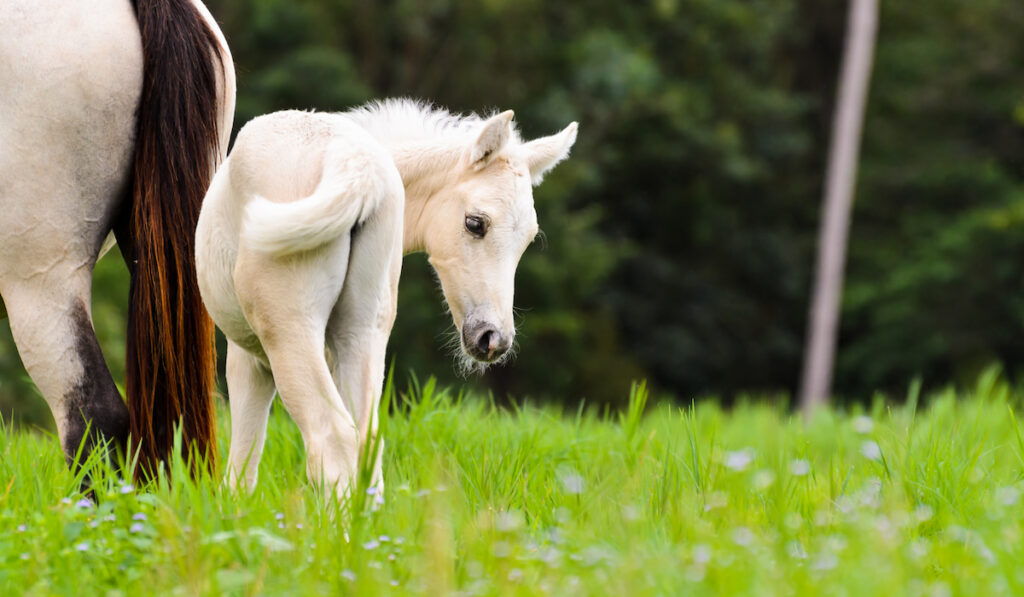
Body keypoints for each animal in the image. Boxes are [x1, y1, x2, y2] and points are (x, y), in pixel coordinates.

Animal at [193, 100, 577, 497]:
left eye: (527, 240)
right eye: (475, 223)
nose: (493, 339)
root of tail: (356, 164)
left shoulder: (250, 359)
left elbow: (243, 462)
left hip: (290, 332)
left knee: (333, 438)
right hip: (361, 332)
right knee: (365, 442)